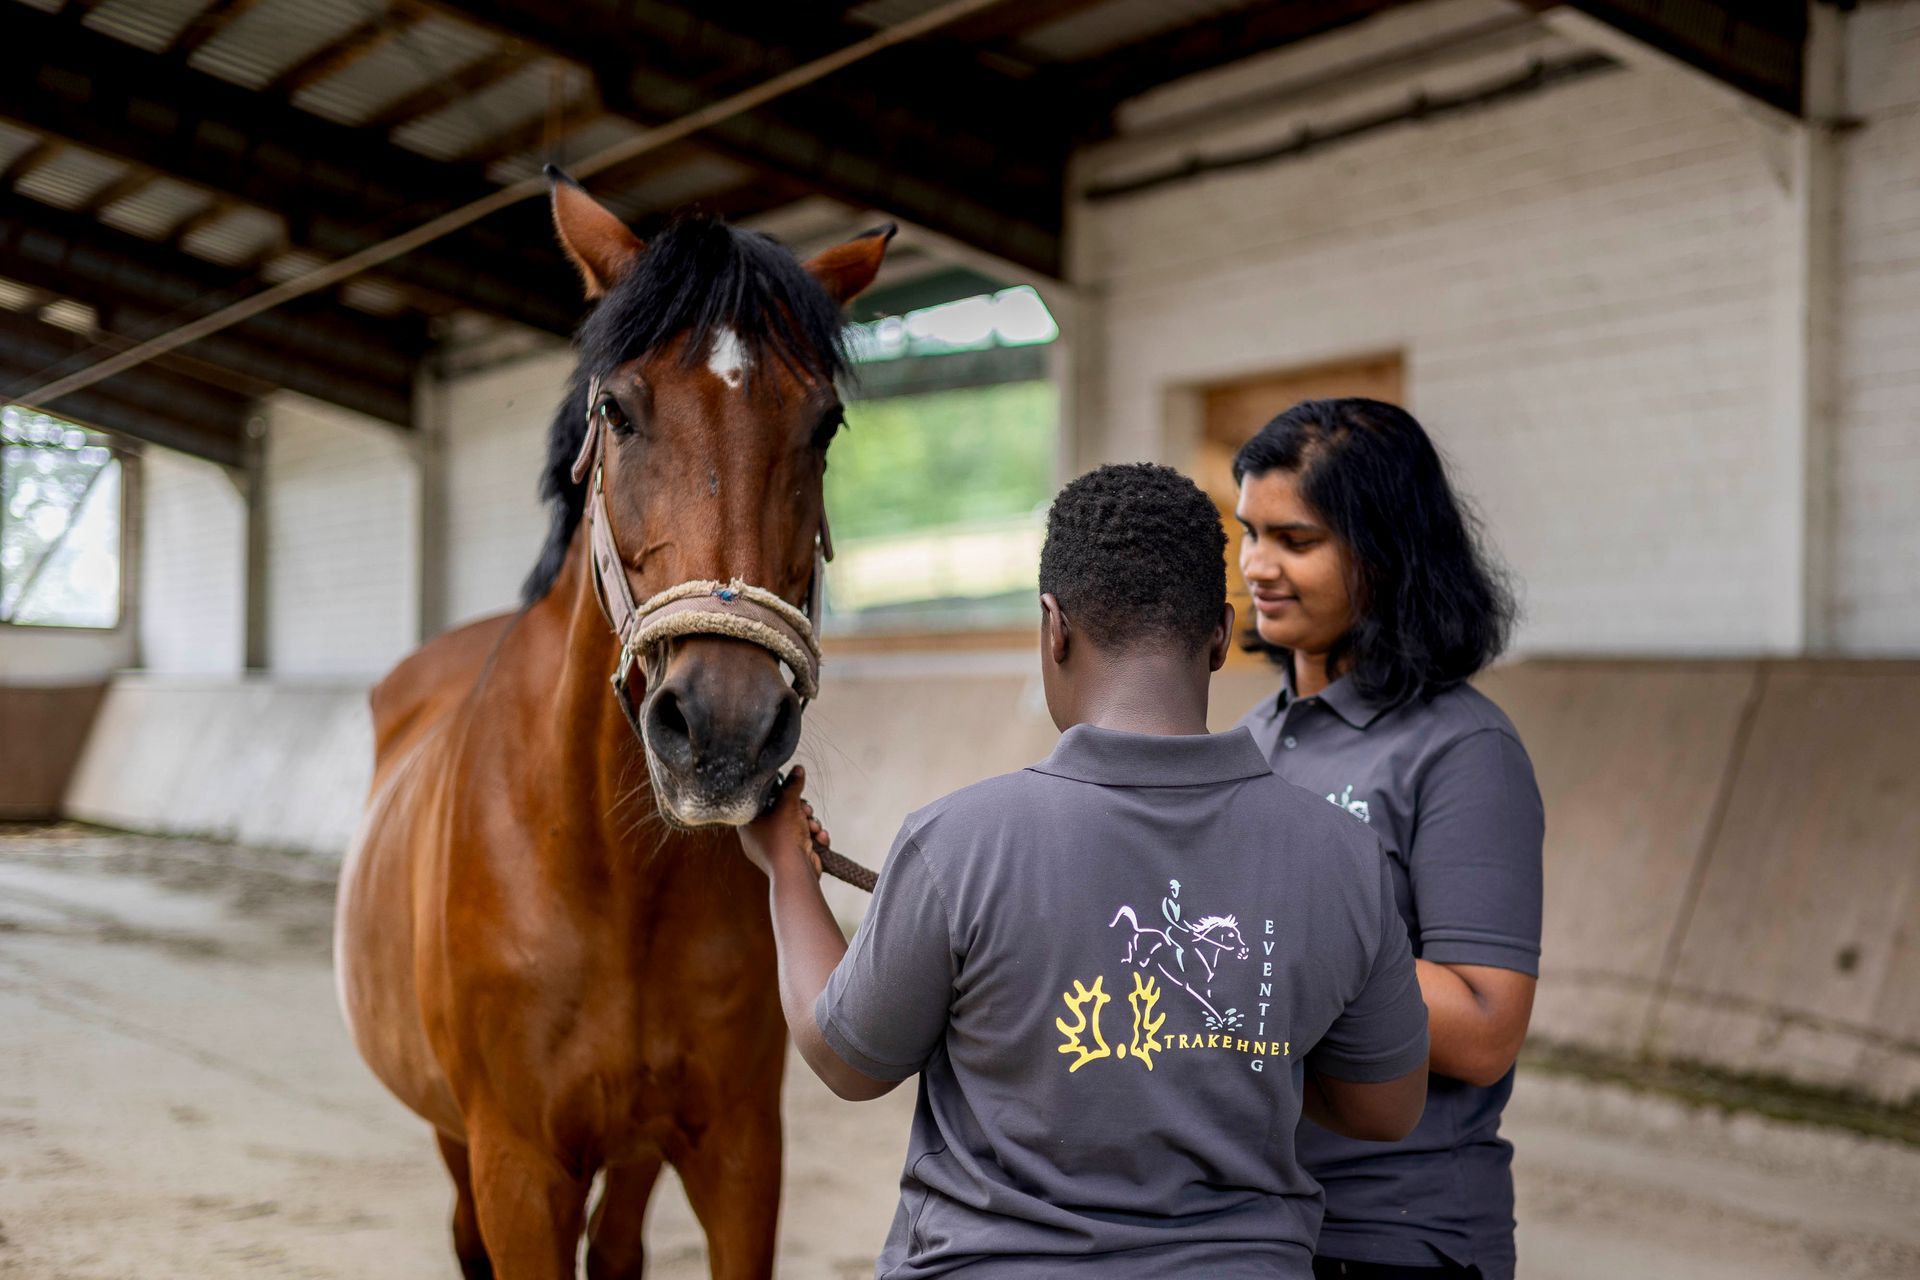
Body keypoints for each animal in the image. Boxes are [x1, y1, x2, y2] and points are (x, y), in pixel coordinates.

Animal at [335, 172, 891, 1279]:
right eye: (618, 410)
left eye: (824, 426)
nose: (724, 728)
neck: (614, 873)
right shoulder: (517, 1165)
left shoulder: (738, 1150)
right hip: (457, 1136)